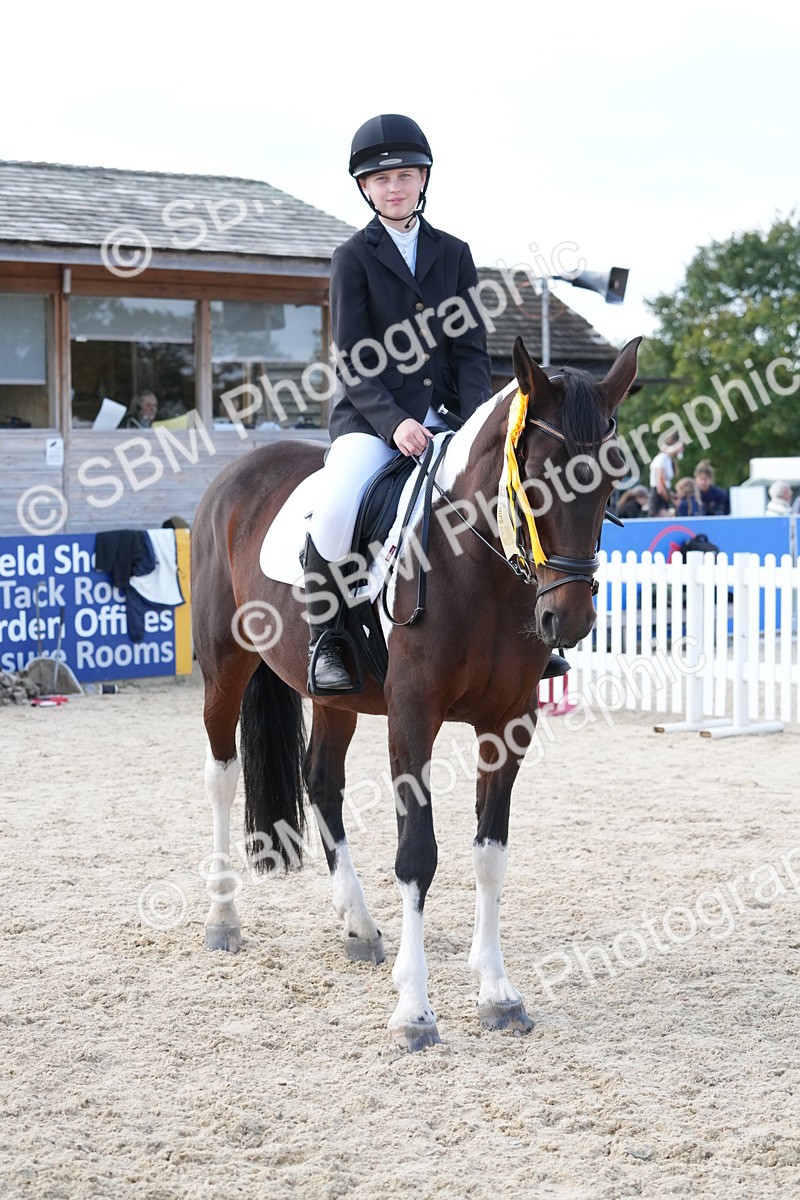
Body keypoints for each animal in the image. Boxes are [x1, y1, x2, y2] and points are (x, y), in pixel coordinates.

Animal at [191, 334, 641, 1051]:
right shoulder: (412, 718)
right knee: (221, 775)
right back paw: (223, 919)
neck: (478, 566)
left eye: (610, 477)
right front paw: (415, 1011)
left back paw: (358, 927)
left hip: (337, 697)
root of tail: (236, 474)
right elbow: (417, 855)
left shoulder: (509, 724)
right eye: (534, 478)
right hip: (225, 668)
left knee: (321, 782)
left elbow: (490, 853)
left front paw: (497, 993)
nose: (566, 620)